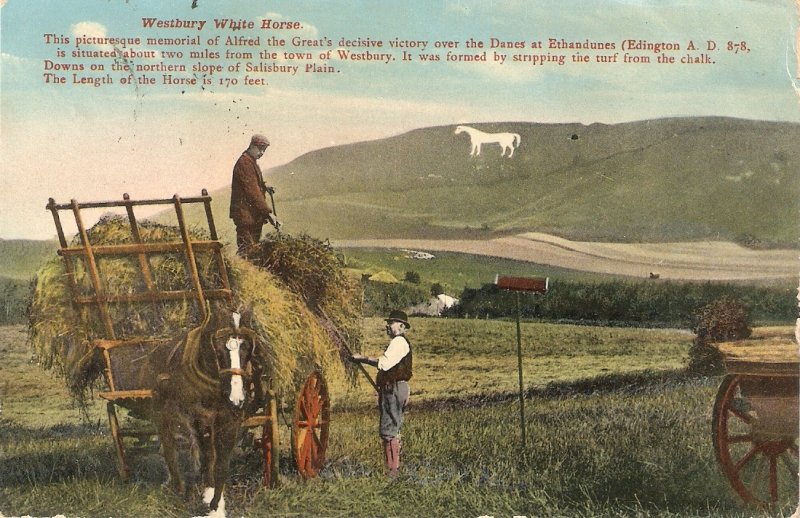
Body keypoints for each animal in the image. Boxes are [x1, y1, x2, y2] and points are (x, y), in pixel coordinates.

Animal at [152, 308, 260, 516]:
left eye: (246, 350)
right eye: (218, 351)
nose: (236, 398)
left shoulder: (230, 421)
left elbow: (221, 464)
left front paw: (216, 503)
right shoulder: (199, 419)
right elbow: (206, 456)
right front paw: (207, 494)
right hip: (167, 416)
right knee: (170, 448)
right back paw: (178, 485)